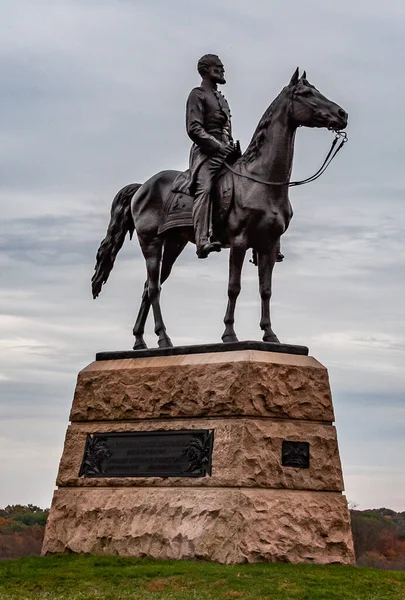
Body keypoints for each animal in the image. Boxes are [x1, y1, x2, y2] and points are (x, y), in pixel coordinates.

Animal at [91, 68, 348, 350]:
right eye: (305, 93)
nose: (342, 114)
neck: (259, 180)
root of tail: (142, 188)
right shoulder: (239, 241)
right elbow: (233, 287)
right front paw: (229, 333)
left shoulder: (268, 245)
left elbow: (266, 289)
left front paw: (270, 334)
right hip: (151, 244)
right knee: (154, 288)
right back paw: (163, 337)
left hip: (173, 244)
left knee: (149, 286)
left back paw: (140, 340)